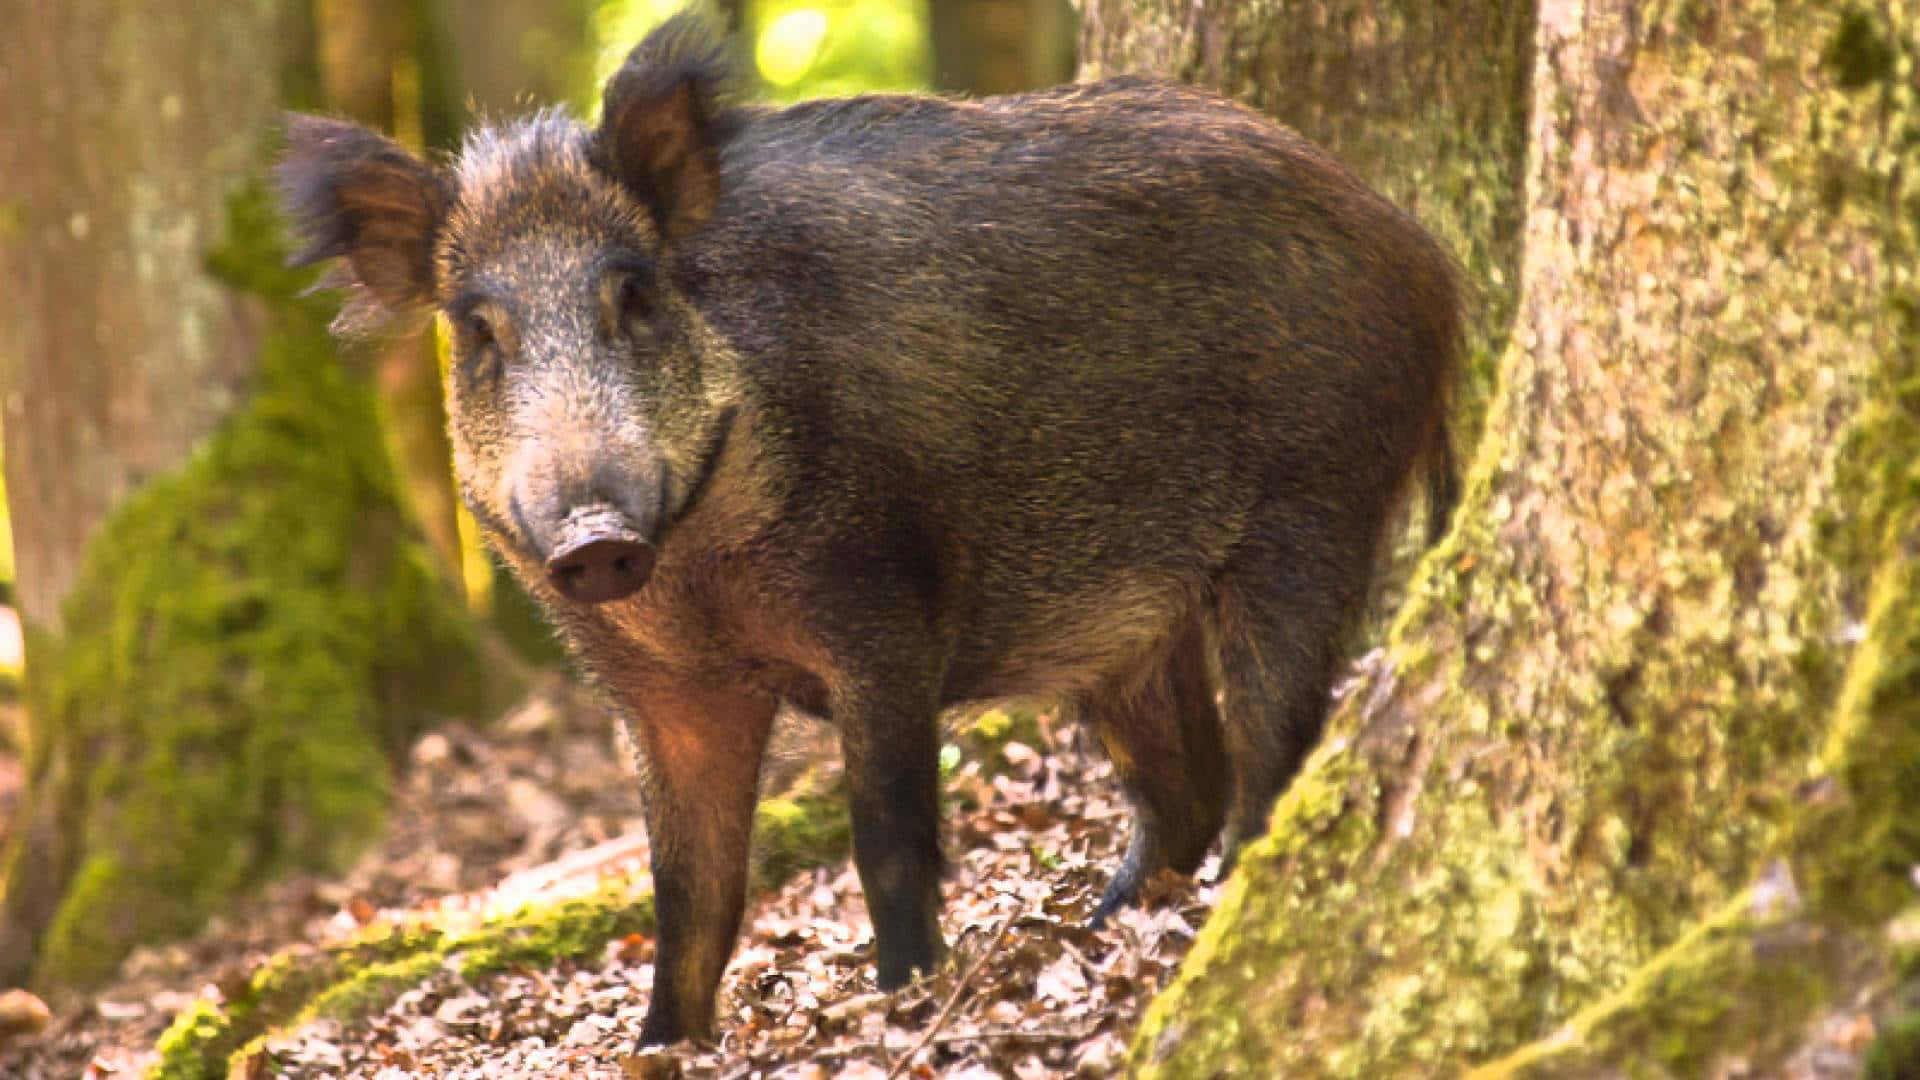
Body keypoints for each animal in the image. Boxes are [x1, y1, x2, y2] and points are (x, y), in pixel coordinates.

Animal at [277, 13, 1462, 1045]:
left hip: (1311, 506)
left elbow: (885, 839)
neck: (701, 585)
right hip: (1127, 621)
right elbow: (688, 895)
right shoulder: (658, 693)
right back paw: (1100, 924)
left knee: (1273, 749)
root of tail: (1423, 256)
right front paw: (662, 1045)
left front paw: (902, 1001)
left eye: (634, 295)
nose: (593, 536)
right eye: (478, 331)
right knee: (1184, 789)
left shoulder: (883, 611)